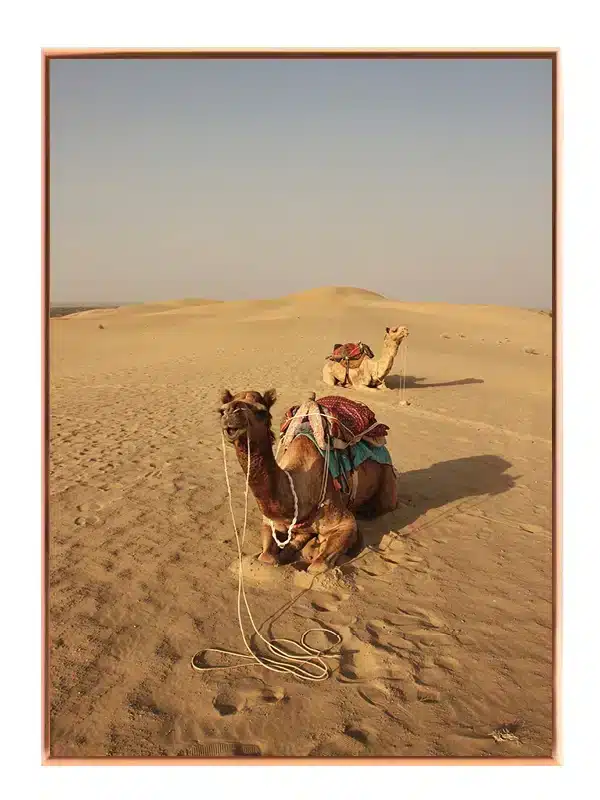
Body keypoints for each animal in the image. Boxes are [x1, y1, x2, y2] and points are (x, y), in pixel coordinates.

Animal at [218, 388, 398, 574]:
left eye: (261, 411)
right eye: (221, 410)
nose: (230, 412)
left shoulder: (345, 521)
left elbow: (317, 566)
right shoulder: (270, 521)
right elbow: (266, 557)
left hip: (387, 478)